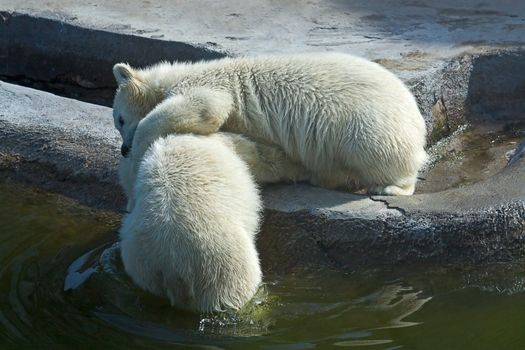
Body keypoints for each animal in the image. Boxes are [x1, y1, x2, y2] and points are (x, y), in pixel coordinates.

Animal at [112, 52, 428, 194]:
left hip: (369, 128)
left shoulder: (209, 85)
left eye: (120, 119)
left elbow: (207, 108)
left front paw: (139, 146)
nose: (123, 149)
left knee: (377, 153)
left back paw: (390, 187)